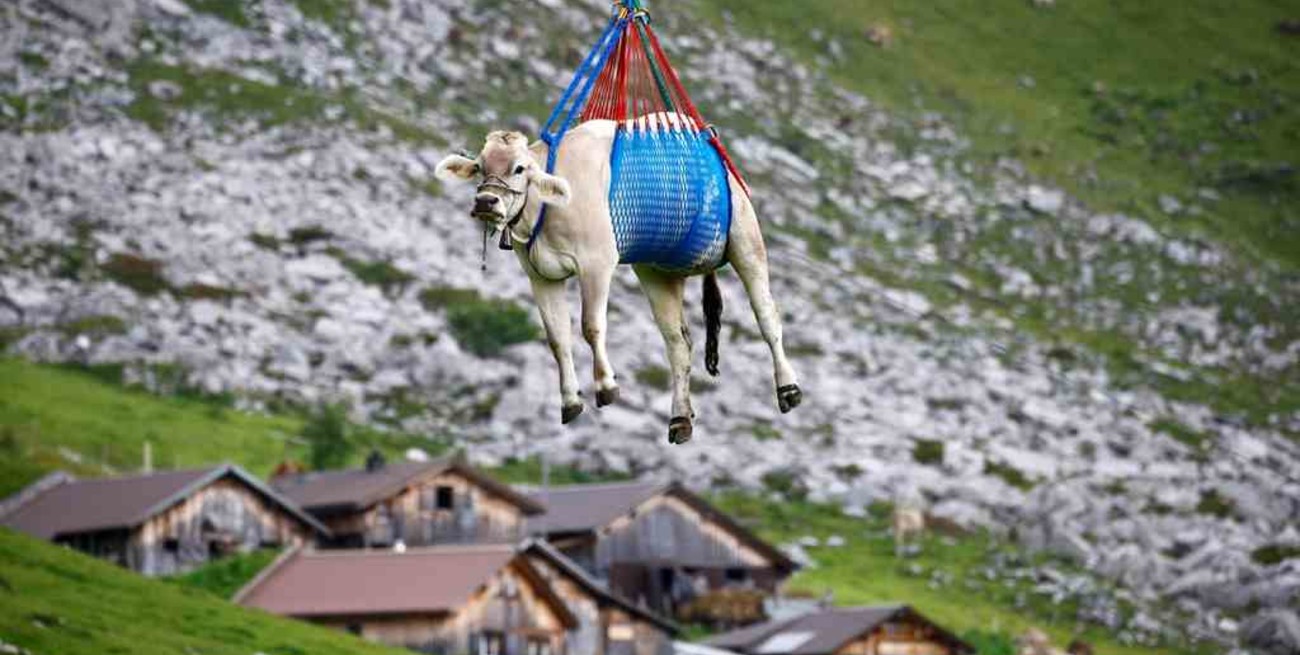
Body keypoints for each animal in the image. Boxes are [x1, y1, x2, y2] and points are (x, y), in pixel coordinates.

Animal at [434, 120, 801, 444]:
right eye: (480, 166)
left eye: (520, 168)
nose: (486, 202)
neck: (549, 207)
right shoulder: (541, 277)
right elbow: (557, 339)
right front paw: (571, 401)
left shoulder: (596, 263)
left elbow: (591, 326)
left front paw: (606, 386)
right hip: (657, 271)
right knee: (678, 343)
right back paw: (680, 419)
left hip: (745, 240)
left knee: (767, 317)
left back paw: (788, 388)